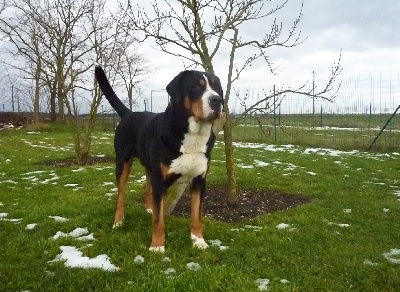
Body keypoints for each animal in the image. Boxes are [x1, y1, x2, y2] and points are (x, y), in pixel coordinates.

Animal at [95, 65, 223, 252]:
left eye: (217, 87)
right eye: (196, 86)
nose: (217, 100)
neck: (194, 136)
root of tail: (129, 113)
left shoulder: (199, 181)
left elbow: (196, 216)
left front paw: (199, 241)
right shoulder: (160, 180)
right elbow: (158, 220)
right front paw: (157, 246)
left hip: (150, 168)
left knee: (147, 188)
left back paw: (149, 209)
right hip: (123, 163)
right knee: (121, 196)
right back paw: (118, 222)